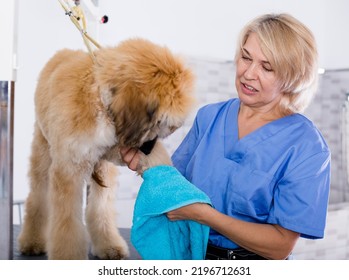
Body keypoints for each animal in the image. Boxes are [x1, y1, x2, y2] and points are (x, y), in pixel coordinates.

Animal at [18, 38, 193, 260]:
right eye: (161, 123)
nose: (147, 149)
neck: (100, 101)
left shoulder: (110, 153)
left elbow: (101, 210)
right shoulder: (69, 169)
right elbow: (67, 222)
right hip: (43, 150)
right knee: (37, 197)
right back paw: (32, 240)